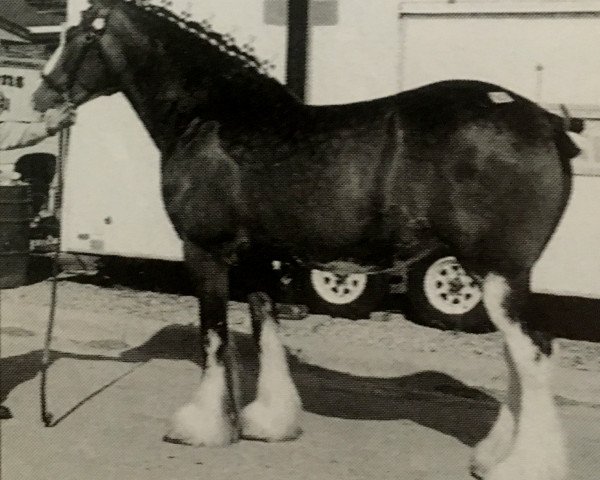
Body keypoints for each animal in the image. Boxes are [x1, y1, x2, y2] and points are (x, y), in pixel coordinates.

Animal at [32, 1, 580, 478]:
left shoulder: (205, 253)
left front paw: (202, 427)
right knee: (517, 356)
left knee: (532, 352)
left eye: (78, 35)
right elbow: (266, 330)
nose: (43, 99)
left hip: (497, 269)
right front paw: (269, 421)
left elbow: (214, 336)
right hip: (497, 275)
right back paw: (493, 455)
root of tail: (546, 121)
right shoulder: (256, 259)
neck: (213, 116)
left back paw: (523, 465)